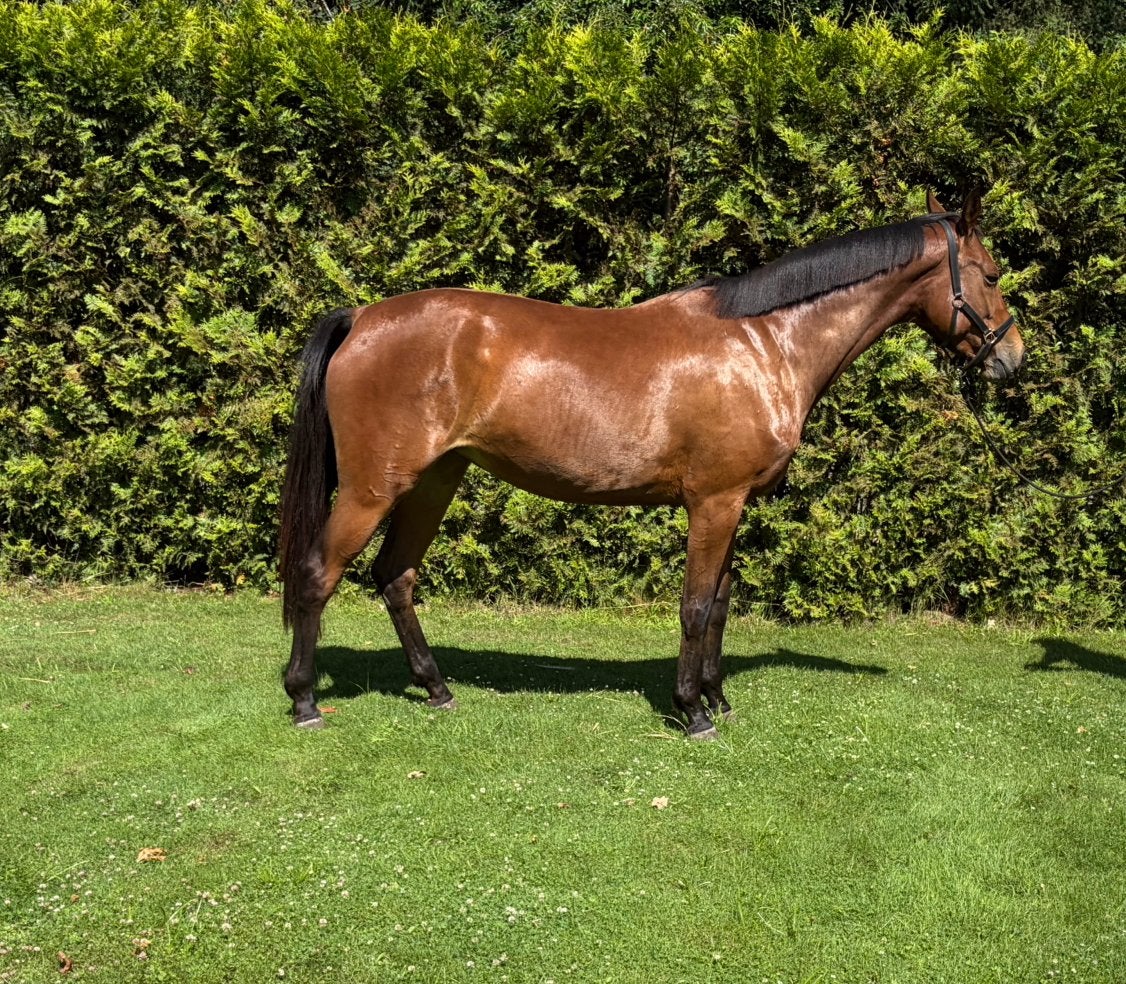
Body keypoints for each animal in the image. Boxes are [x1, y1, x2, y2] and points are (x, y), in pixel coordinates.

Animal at [277, 191, 1025, 739]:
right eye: (991, 275)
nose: (1012, 359)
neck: (765, 343)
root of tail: (362, 317)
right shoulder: (714, 502)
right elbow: (695, 605)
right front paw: (692, 712)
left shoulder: (735, 504)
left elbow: (720, 603)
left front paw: (717, 700)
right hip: (373, 489)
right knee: (319, 575)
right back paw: (305, 701)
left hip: (435, 480)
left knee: (395, 576)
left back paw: (436, 688)